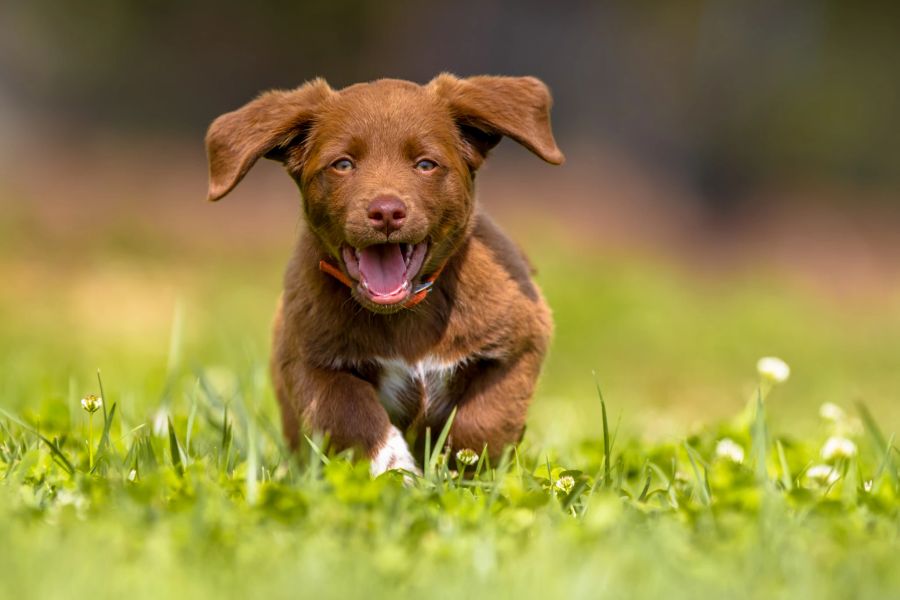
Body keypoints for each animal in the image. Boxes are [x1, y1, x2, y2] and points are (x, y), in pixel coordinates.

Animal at [207, 74, 568, 474]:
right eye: (343, 164)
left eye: (425, 164)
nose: (386, 212)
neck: (405, 312)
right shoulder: (307, 360)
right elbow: (351, 415)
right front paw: (398, 473)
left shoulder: (522, 340)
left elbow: (485, 419)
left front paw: (463, 471)